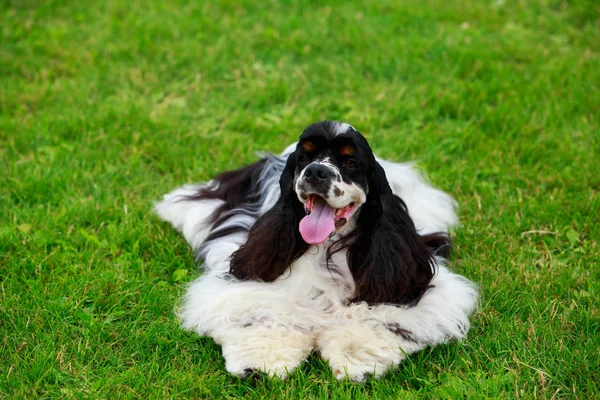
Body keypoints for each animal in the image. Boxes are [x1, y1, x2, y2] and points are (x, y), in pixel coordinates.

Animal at [155, 119, 478, 382]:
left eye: (350, 161)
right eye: (305, 157)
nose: (316, 171)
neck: (327, 249)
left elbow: (376, 318)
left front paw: (356, 359)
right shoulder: (248, 282)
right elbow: (263, 313)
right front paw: (260, 362)